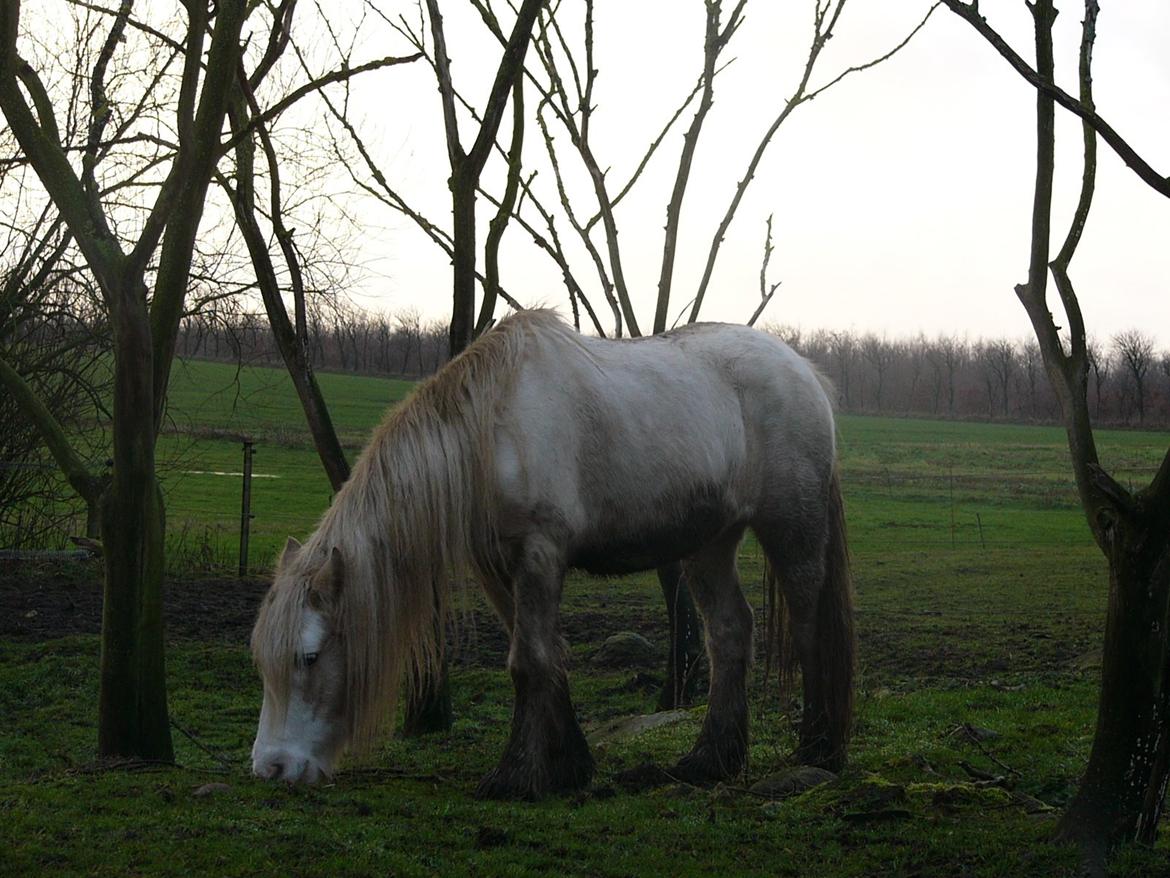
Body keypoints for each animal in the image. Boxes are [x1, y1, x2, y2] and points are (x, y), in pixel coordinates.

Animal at [249, 313, 851, 800]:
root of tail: (807, 373)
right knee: (728, 632)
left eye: (309, 657)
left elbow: (528, 660)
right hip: (710, 543)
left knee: (808, 627)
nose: (271, 769)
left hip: (791, 528)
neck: (491, 433)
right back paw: (710, 761)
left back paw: (818, 749)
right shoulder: (498, 568)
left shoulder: (540, 554)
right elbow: (541, 655)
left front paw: (515, 776)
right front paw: (569, 767)